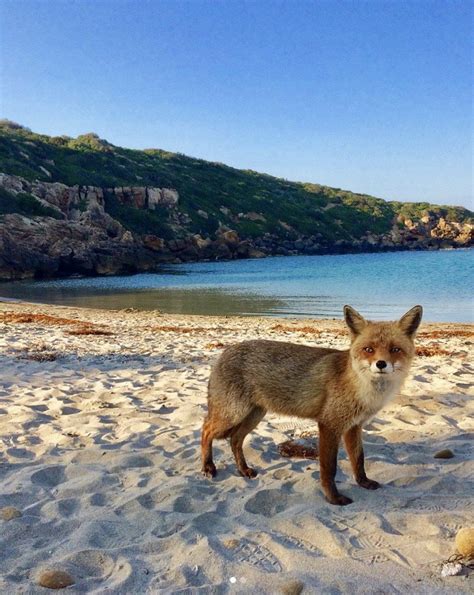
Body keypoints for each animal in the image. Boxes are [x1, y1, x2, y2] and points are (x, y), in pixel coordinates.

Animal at [200, 304, 422, 506]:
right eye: (369, 349)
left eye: (395, 350)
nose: (381, 364)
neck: (362, 389)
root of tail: (225, 352)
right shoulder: (329, 425)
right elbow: (329, 468)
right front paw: (333, 498)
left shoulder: (354, 426)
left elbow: (359, 460)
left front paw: (363, 482)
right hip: (232, 414)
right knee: (206, 430)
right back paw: (208, 466)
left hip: (254, 415)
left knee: (235, 440)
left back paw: (243, 469)